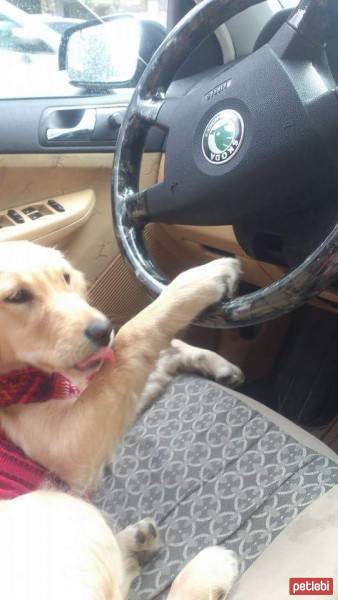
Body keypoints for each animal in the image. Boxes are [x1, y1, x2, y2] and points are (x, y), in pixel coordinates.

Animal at [0, 241, 240, 596]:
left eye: (65, 277)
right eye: (16, 296)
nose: (103, 331)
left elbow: (154, 357)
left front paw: (210, 360)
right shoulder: (69, 445)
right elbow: (132, 335)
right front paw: (200, 279)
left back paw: (135, 541)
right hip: (57, 508)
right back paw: (209, 569)